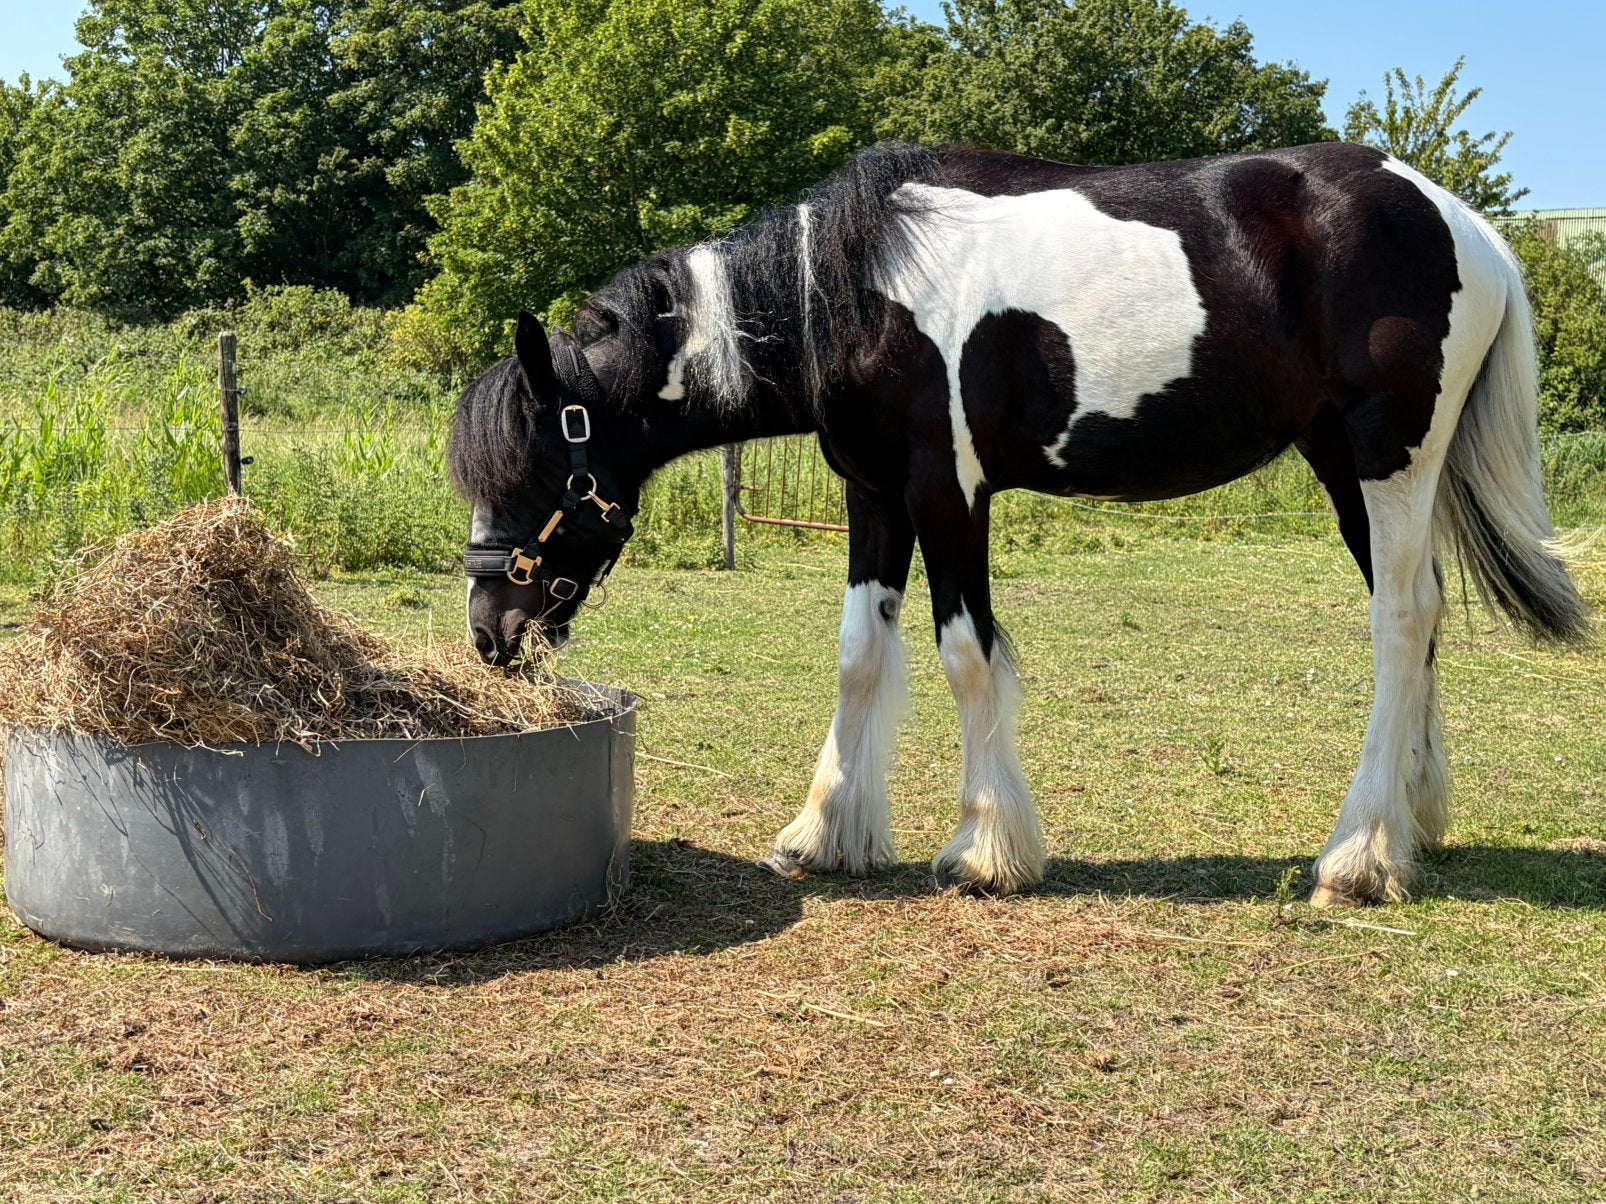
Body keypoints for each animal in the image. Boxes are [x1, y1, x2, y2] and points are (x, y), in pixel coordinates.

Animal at [449, 141, 1587, 906]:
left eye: (538, 465)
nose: (489, 634)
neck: (853, 290)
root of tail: (1459, 220)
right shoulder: (874, 496)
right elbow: (860, 653)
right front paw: (822, 833)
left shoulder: (948, 493)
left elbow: (966, 654)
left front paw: (985, 849)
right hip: (1349, 467)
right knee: (1421, 614)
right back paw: (1414, 823)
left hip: (1389, 459)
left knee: (1398, 623)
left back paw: (1357, 856)